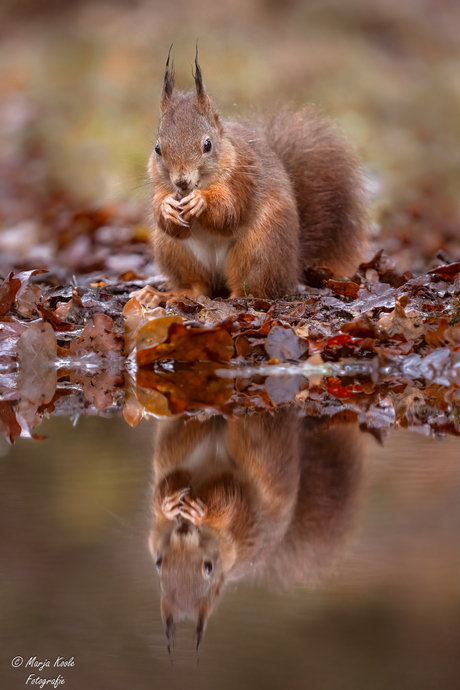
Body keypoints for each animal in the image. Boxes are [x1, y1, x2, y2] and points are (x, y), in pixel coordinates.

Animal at [134, 51, 366, 304]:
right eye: (158, 149)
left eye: (207, 145)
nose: (181, 182)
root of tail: (292, 266)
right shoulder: (159, 185)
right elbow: (168, 222)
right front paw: (166, 207)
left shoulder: (242, 179)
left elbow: (229, 212)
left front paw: (201, 201)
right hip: (174, 251)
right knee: (198, 287)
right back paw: (162, 294)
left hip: (259, 251)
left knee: (251, 288)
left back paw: (234, 299)